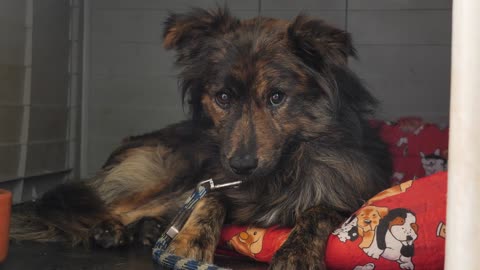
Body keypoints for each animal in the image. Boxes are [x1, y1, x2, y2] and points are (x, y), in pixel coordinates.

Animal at [12, 7, 394, 268]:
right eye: (223, 97)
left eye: (276, 97)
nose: (241, 165)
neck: (282, 168)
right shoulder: (213, 178)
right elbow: (210, 200)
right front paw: (188, 245)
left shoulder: (349, 187)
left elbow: (319, 209)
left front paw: (296, 253)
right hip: (173, 170)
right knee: (98, 205)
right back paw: (109, 228)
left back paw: (146, 230)